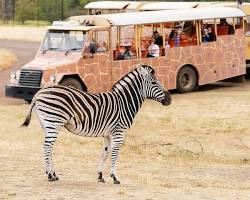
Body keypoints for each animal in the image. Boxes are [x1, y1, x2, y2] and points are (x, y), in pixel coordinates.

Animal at [21, 64, 171, 184]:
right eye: (154, 83)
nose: (169, 99)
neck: (124, 102)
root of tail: (39, 93)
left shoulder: (108, 135)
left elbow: (104, 154)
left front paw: (100, 176)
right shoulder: (118, 132)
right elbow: (115, 154)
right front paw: (115, 177)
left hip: (48, 125)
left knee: (49, 148)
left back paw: (54, 174)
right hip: (53, 123)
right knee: (46, 148)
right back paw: (50, 176)